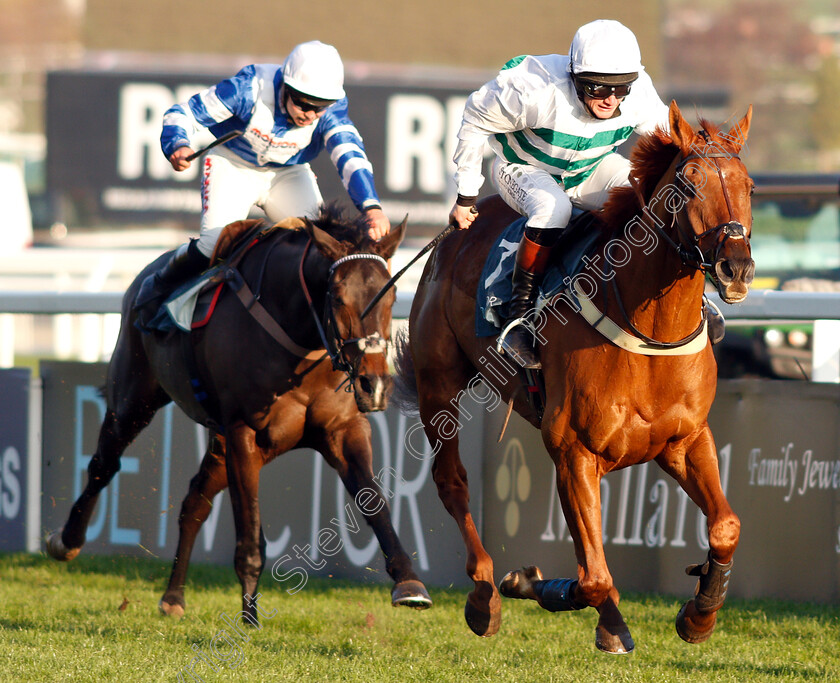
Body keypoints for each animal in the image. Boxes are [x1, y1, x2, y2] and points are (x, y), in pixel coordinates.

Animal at [48, 206, 434, 624]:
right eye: (336, 296)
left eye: (391, 294)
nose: (373, 384)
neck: (300, 342)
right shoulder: (244, 434)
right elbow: (250, 535)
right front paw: (249, 617)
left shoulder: (342, 429)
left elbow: (373, 502)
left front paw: (409, 583)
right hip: (134, 397)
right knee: (104, 463)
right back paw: (66, 541)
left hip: (217, 443)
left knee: (195, 500)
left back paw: (173, 596)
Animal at [394, 101, 756, 652]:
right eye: (689, 183)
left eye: (749, 185)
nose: (736, 268)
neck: (648, 330)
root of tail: (451, 236)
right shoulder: (574, 451)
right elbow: (594, 577)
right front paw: (545, 592)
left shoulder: (685, 439)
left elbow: (726, 527)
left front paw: (700, 612)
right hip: (438, 383)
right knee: (451, 482)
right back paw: (483, 595)